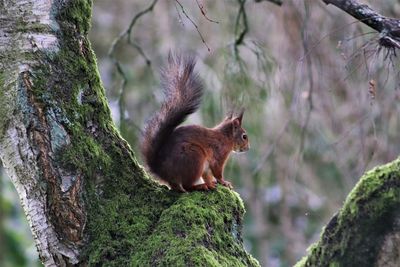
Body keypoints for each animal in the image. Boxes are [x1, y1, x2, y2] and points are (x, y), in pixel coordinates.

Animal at [139, 54, 248, 193]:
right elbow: (217, 172)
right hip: (194, 156)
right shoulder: (218, 154)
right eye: (244, 136)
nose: (248, 148)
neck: (225, 137)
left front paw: (212, 182)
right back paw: (200, 186)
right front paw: (223, 182)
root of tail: (162, 171)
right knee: (187, 186)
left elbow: (207, 174)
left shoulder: (207, 166)